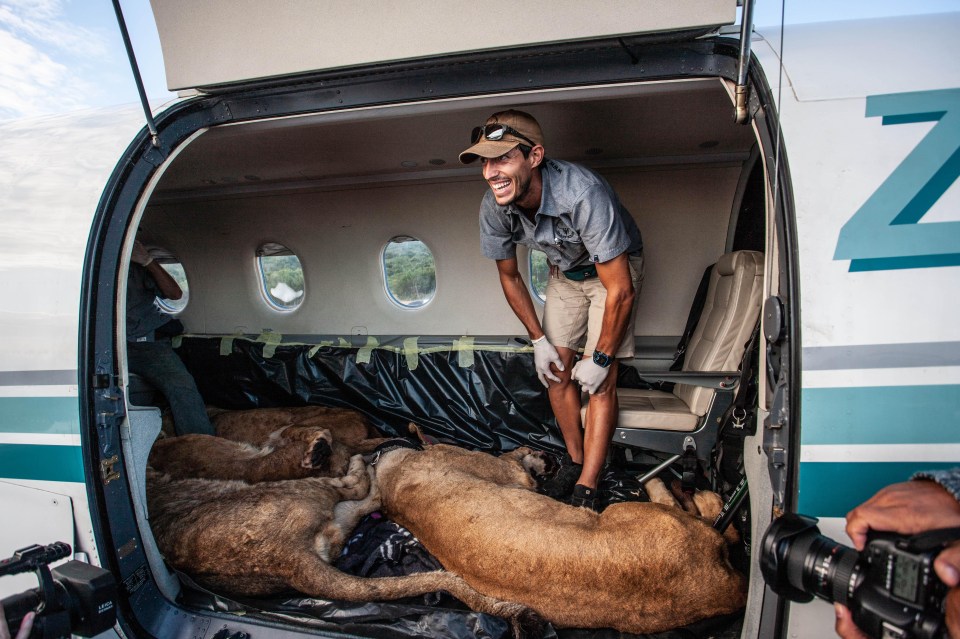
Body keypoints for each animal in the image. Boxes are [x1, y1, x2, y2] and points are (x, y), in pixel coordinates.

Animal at [376, 444, 752, 636]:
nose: (550, 456)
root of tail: (727, 588)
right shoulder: (509, 472)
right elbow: (513, 461)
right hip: (636, 512)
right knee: (713, 519)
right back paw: (682, 487)